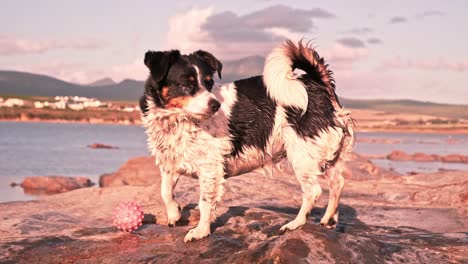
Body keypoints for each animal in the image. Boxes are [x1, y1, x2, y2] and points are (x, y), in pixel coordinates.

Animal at [139, 39, 354, 241]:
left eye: (209, 83)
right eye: (186, 84)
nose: (215, 105)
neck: (178, 120)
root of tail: (319, 84)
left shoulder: (209, 169)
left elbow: (205, 202)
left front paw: (201, 231)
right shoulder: (171, 162)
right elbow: (165, 191)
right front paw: (174, 213)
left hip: (302, 155)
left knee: (313, 191)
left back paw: (295, 223)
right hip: (326, 155)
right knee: (337, 183)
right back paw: (328, 219)